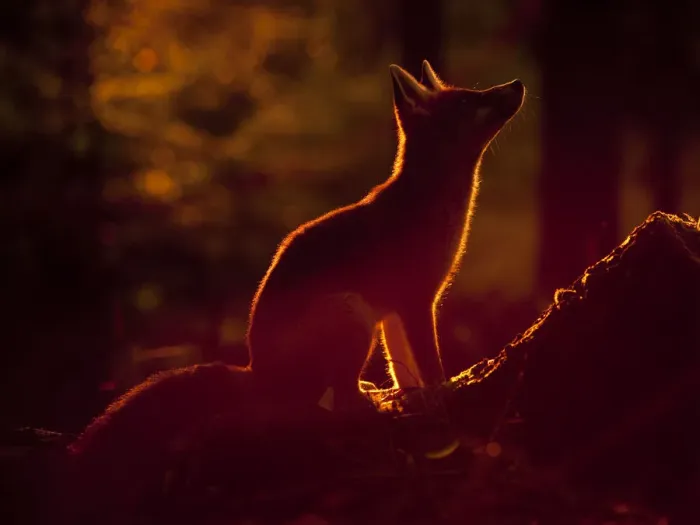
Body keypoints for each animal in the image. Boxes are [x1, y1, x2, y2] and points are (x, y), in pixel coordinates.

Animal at [247, 60, 525, 412]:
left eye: (470, 93)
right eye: (465, 100)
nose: (517, 83)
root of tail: (255, 371)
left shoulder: (394, 312)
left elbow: (403, 372)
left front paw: (418, 395)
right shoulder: (416, 301)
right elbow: (431, 367)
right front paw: (445, 393)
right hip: (353, 311)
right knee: (343, 400)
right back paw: (371, 402)